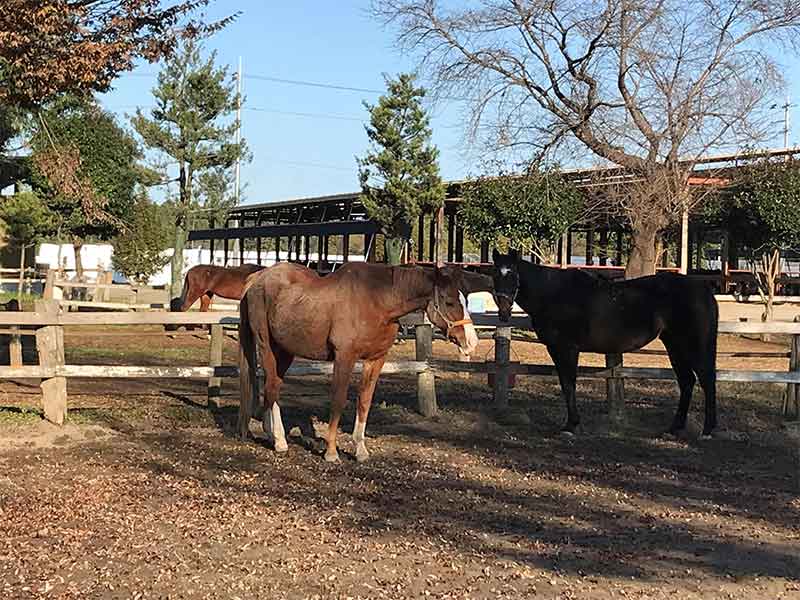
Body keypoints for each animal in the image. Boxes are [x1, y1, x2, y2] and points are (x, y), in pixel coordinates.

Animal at [236, 262, 476, 464]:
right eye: (449, 302)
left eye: (465, 300)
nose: (471, 341)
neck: (377, 300)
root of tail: (257, 279)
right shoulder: (345, 357)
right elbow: (338, 401)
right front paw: (331, 452)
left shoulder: (376, 360)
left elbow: (364, 401)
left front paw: (360, 450)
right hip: (267, 347)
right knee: (271, 388)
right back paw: (277, 440)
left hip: (285, 351)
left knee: (273, 387)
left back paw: (277, 436)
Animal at [490, 248, 720, 436]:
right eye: (495, 274)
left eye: (513, 274)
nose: (504, 311)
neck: (553, 294)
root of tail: (703, 289)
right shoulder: (556, 349)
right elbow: (566, 383)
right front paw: (572, 423)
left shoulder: (567, 349)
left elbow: (568, 383)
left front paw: (571, 426)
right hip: (674, 345)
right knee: (687, 381)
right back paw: (674, 428)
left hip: (693, 345)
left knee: (706, 379)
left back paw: (707, 430)